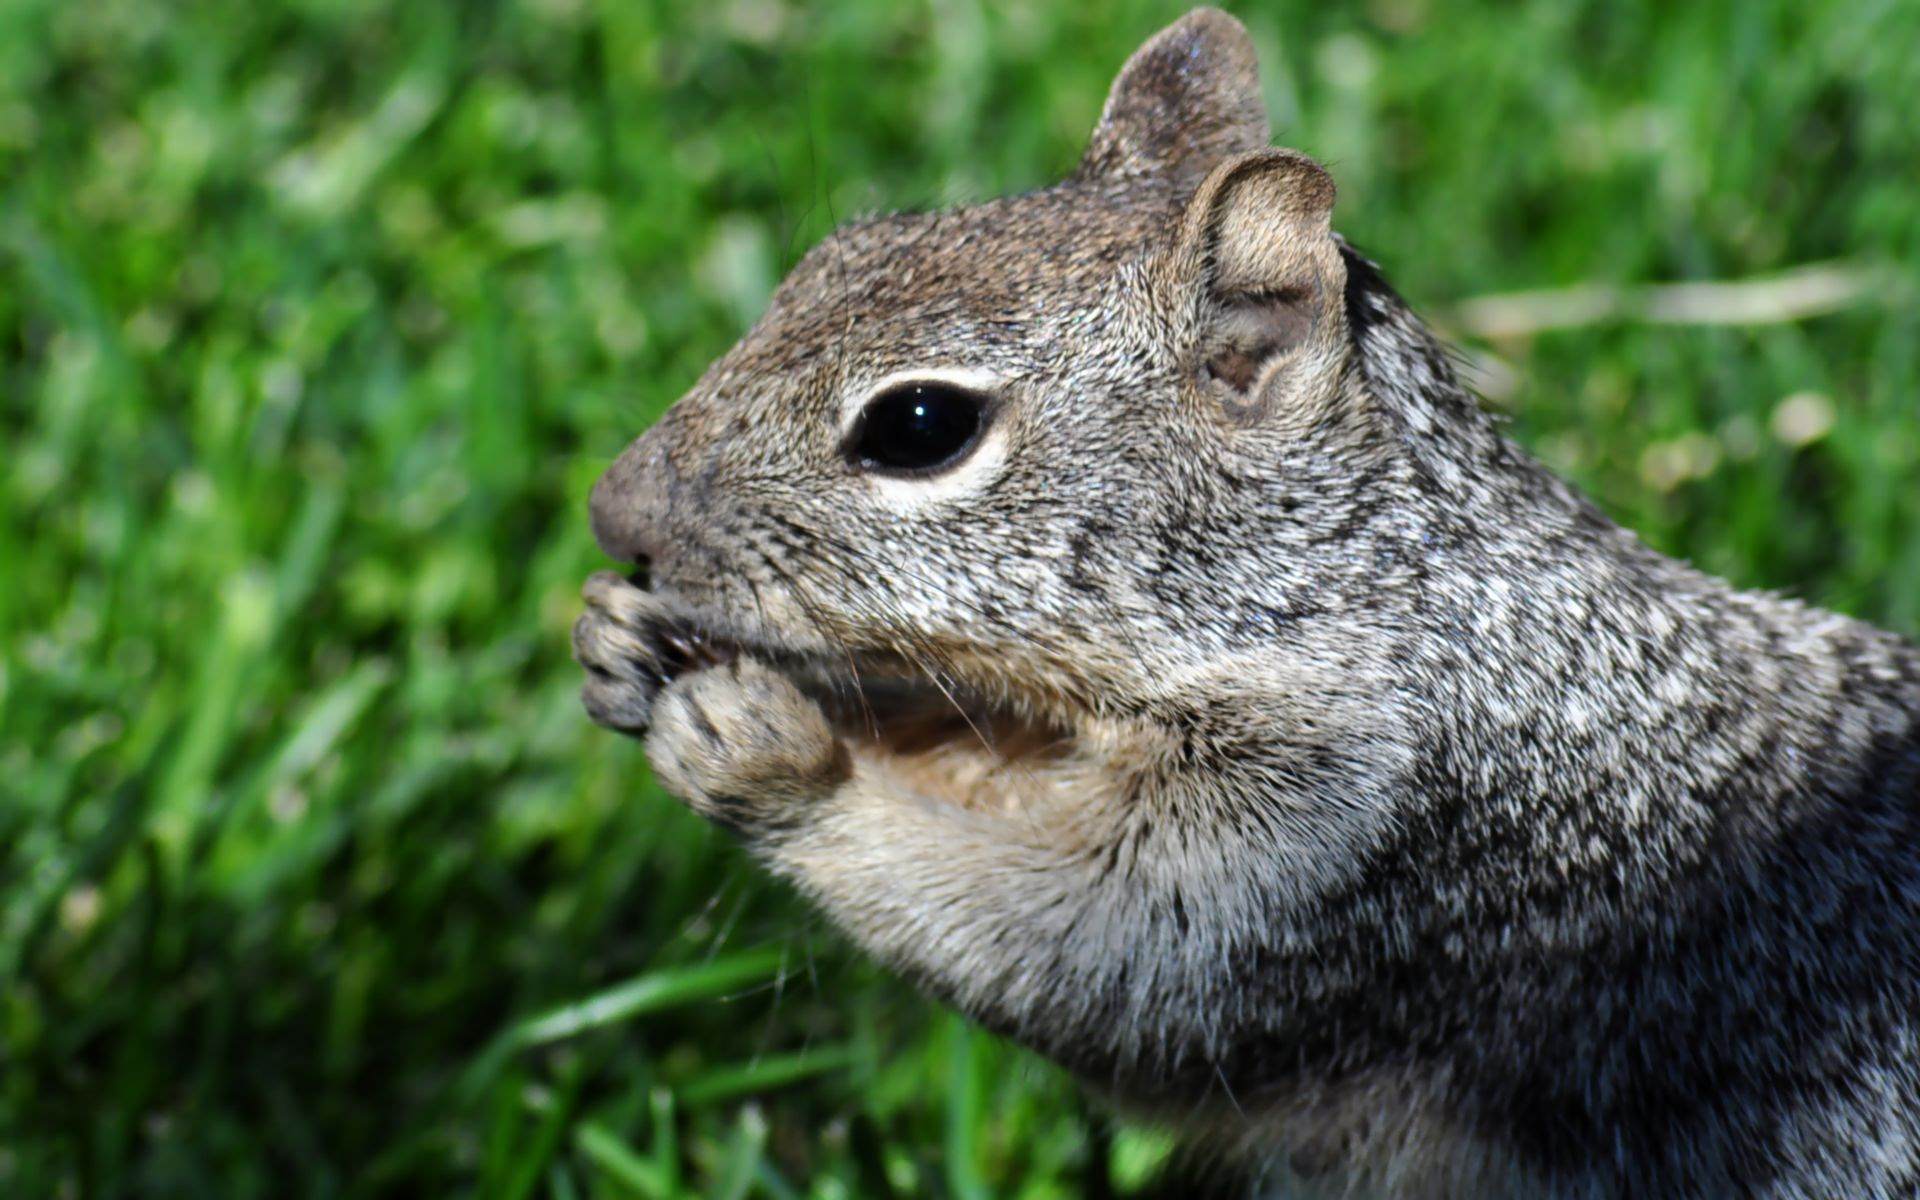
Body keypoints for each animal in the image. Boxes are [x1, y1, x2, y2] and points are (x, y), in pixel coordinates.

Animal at [572, 11, 1920, 1198]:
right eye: (831, 256)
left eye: (918, 425)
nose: (611, 511)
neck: (1374, 595)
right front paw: (622, 641)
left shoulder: (1339, 842)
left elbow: (1081, 956)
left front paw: (775, 757)